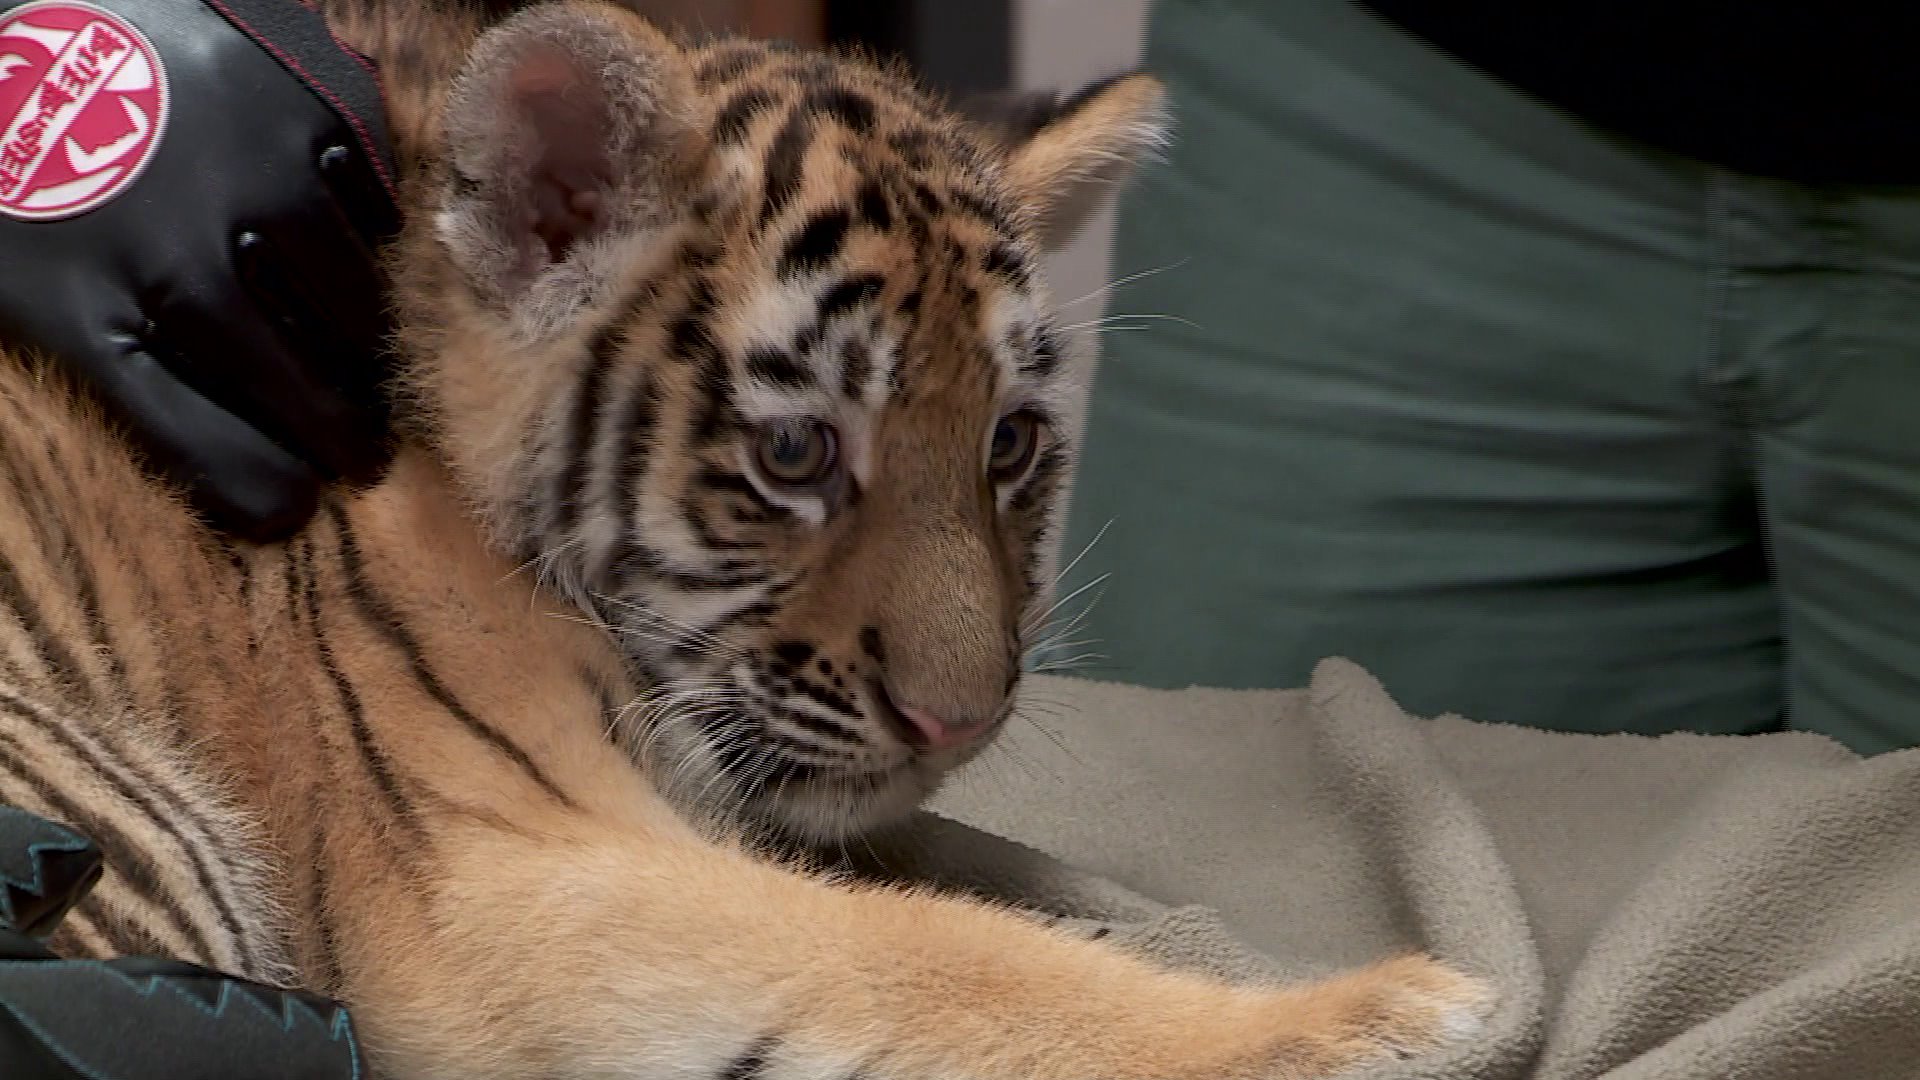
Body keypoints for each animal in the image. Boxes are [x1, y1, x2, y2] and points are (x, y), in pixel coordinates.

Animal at [0, 0, 1496, 1076]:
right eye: (797, 453)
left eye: (1009, 442)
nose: (962, 725)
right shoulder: (504, 884)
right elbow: (942, 961)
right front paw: (1394, 1014)